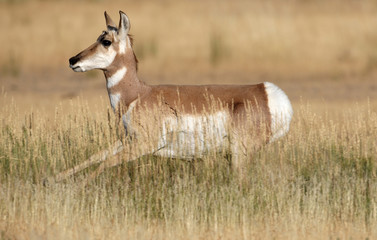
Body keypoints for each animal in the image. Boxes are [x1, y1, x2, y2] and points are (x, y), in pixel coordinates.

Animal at [53, 10, 294, 184]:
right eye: (97, 37)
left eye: (106, 41)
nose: (72, 60)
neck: (138, 94)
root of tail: (266, 91)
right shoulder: (128, 139)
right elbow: (96, 156)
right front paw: (52, 180)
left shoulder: (145, 144)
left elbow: (105, 163)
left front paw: (77, 187)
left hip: (239, 155)